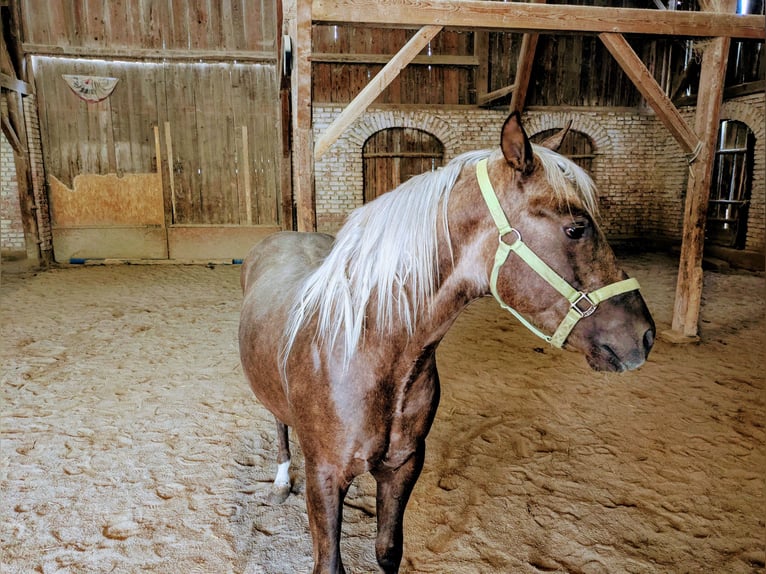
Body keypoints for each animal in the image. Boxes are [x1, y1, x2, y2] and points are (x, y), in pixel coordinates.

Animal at [238, 112, 655, 573]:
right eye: (576, 228)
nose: (644, 335)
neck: (367, 351)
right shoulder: (324, 478)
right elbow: (329, 563)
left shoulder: (403, 467)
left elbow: (388, 551)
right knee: (278, 423)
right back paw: (280, 482)